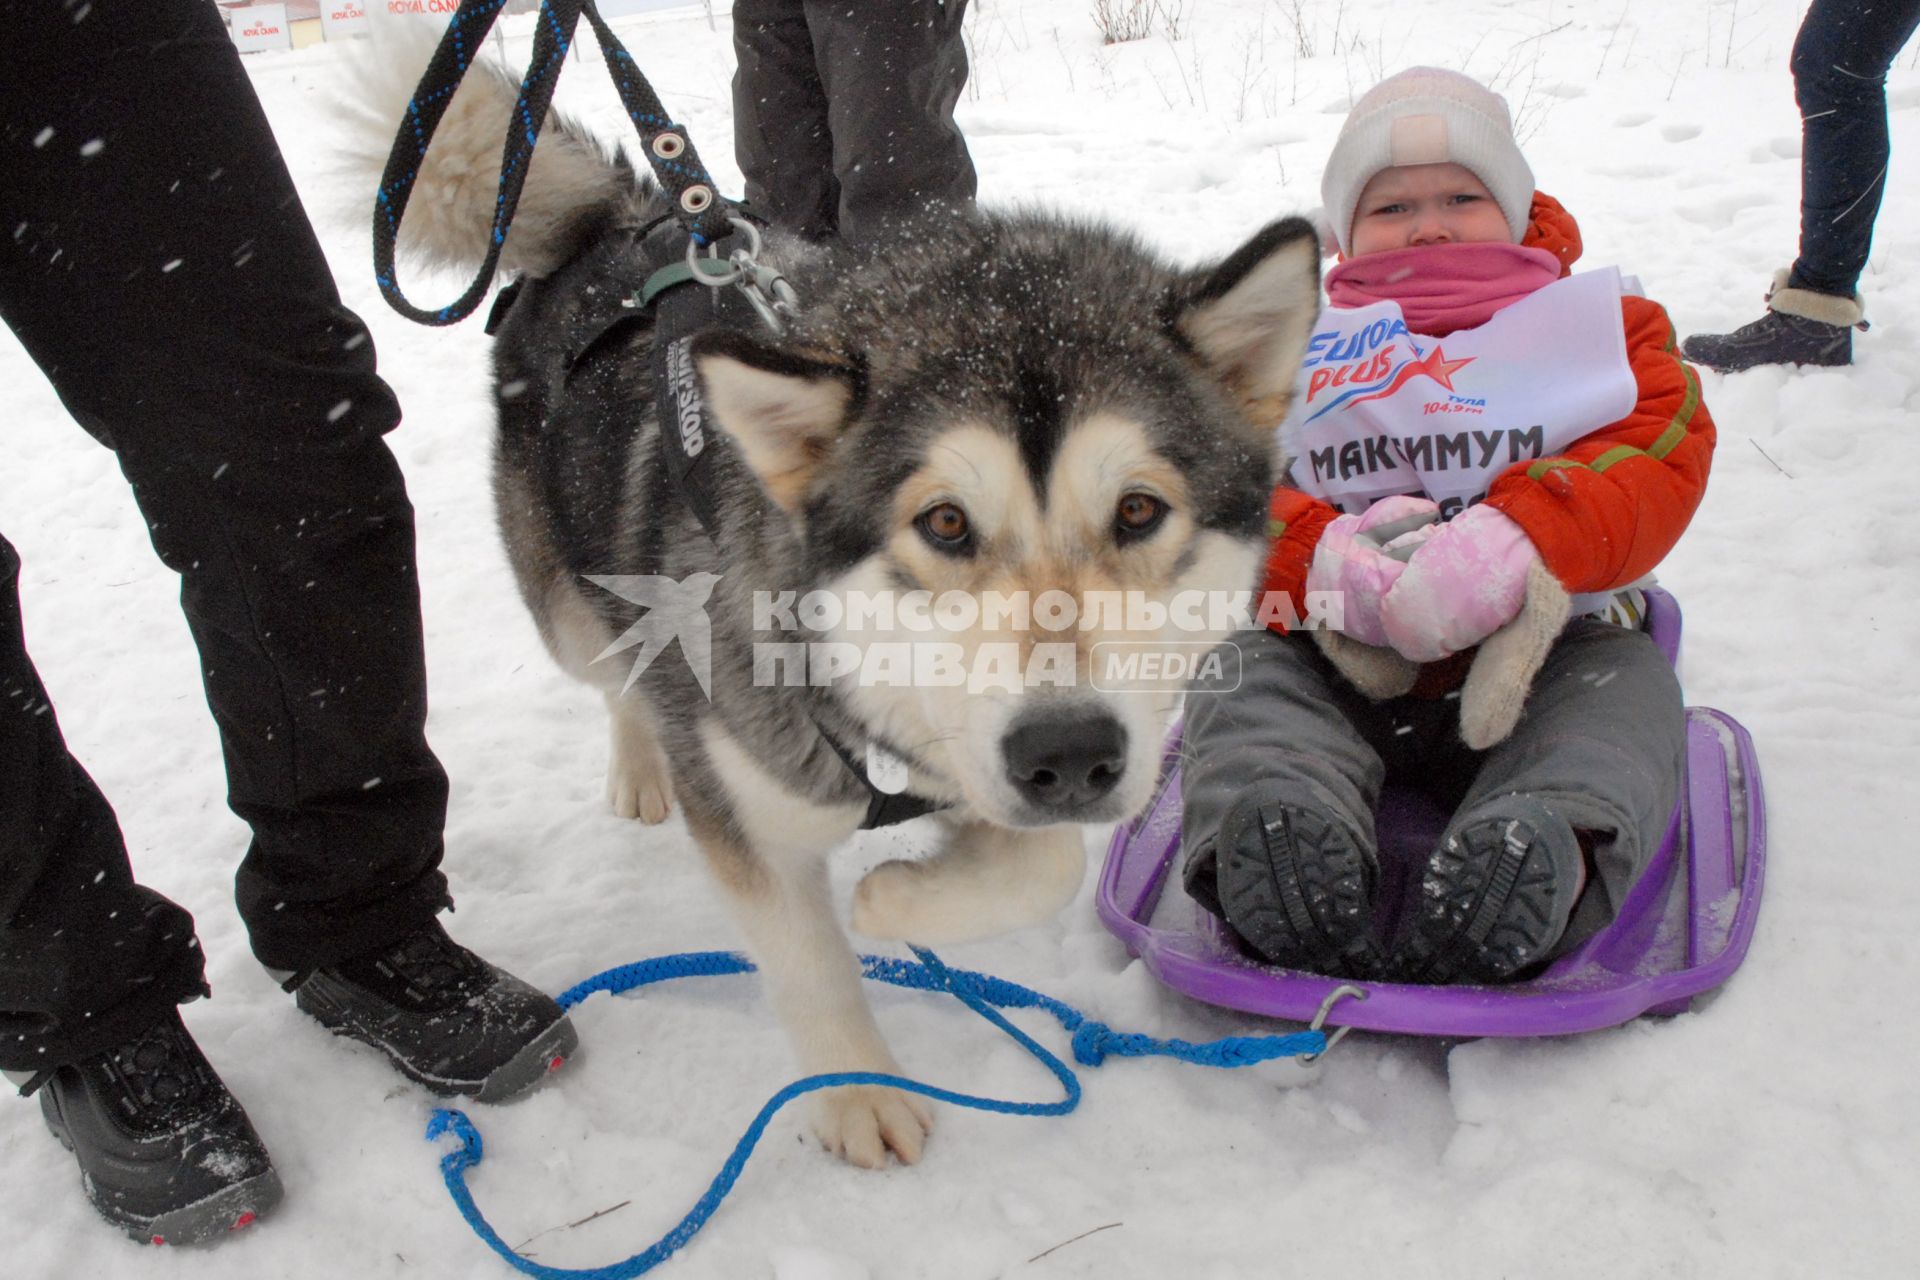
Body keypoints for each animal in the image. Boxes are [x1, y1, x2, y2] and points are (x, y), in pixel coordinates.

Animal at [360, 59, 1320, 1166]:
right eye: (945, 521)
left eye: (1138, 510)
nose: (1070, 754)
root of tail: (625, 216)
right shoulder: (747, 803)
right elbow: (810, 957)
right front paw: (858, 1090)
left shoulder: (993, 760)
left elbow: (1044, 857)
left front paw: (906, 892)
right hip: (566, 607)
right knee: (613, 671)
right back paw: (640, 759)